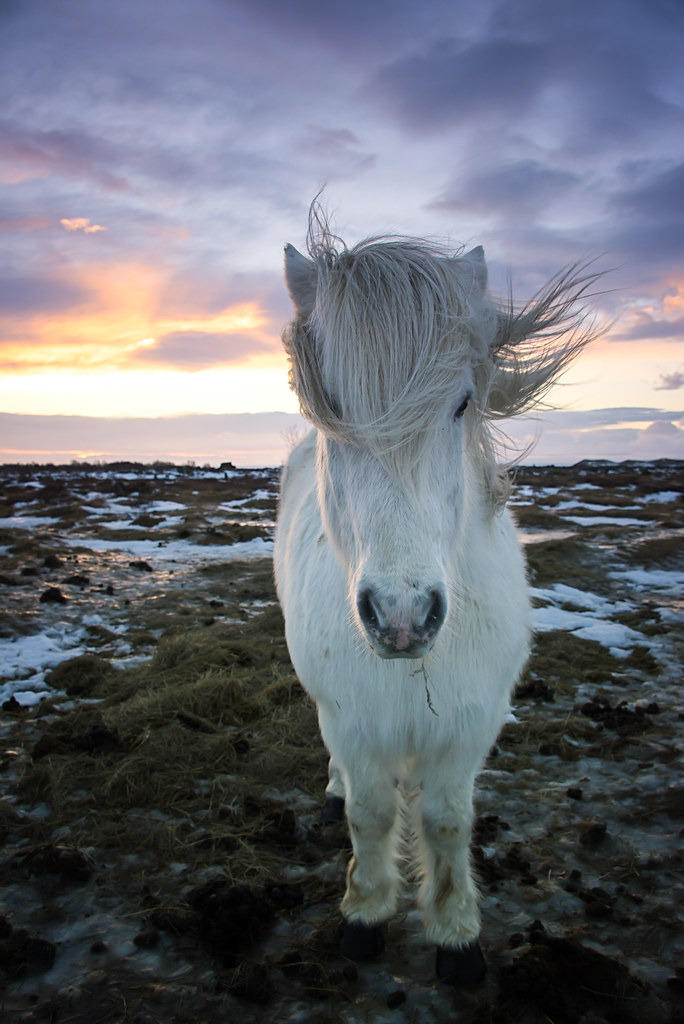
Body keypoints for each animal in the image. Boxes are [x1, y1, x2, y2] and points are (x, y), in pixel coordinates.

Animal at [273, 205, 598, 986]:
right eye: (328, 408)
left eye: (461, 405)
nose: (402, 616)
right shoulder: (354, 725)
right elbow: (369, 816)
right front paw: (364, 915)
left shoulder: (468, 729)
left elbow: (447, 821)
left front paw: (456, 934)